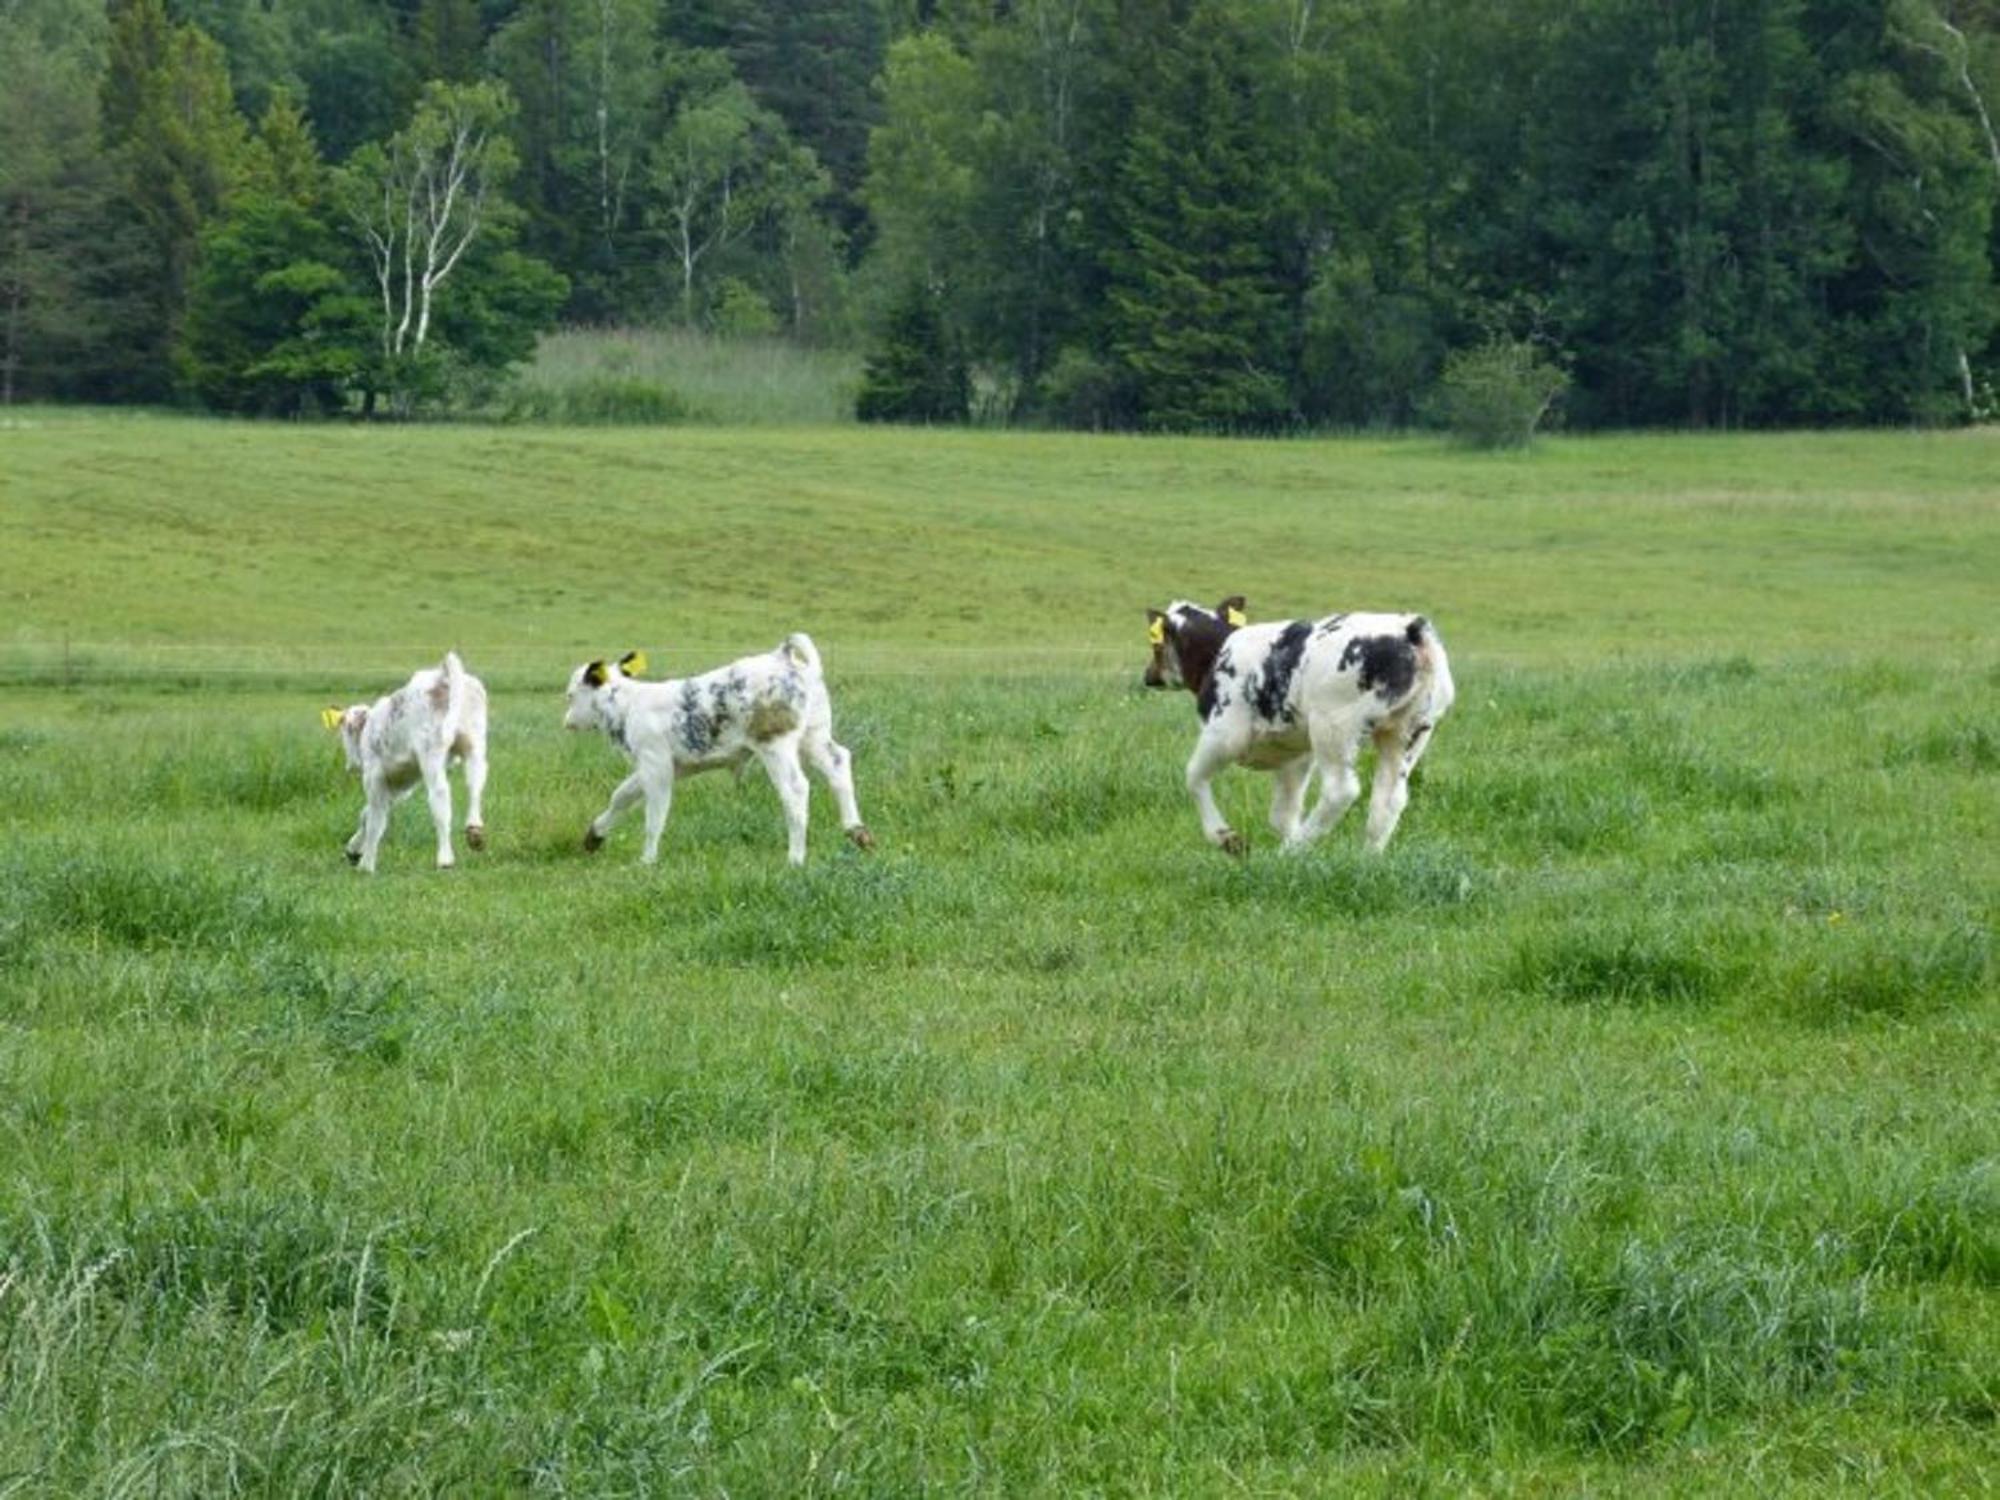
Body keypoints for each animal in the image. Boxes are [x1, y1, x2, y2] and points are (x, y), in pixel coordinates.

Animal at [326, 652, 490, 876]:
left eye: (345, 731)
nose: (349, 765)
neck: (370, 728)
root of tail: (440, 675)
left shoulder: (374, 778)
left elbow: (375, 820)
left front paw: (366, 864)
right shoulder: (399, 785)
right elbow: (367, 814)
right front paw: (354, 850)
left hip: (431, 752)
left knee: (440, 797)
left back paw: (445, 859)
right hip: (474, 745)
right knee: (475, 783)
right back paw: (474, 831)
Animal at [564, 636, 876, 868]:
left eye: (570, 695)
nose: (566, 721)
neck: (629, 704)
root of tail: (783, 657)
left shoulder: (656, 765)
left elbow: (655, 815)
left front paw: (647, 860)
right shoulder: (658, 766)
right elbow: (622, 795)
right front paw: (595, 835)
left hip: (775, 744)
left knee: (796, 788)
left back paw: (795, 859)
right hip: (814, 736)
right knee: (838, 764)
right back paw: (857, 832)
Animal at [1144, 596, 1456, 856]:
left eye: (1156, 645)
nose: (1148, 677)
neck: (1218, 652)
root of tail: (1408, 628)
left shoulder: (1224, 733)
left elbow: (1193, 777)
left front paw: (1226, 838)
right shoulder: (1294, 754)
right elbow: (1283, 814)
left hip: (1333, 726)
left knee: (1340, 791)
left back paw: (1289, 853)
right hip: (1408, 731)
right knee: (1390, 798)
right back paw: (1367, 860)